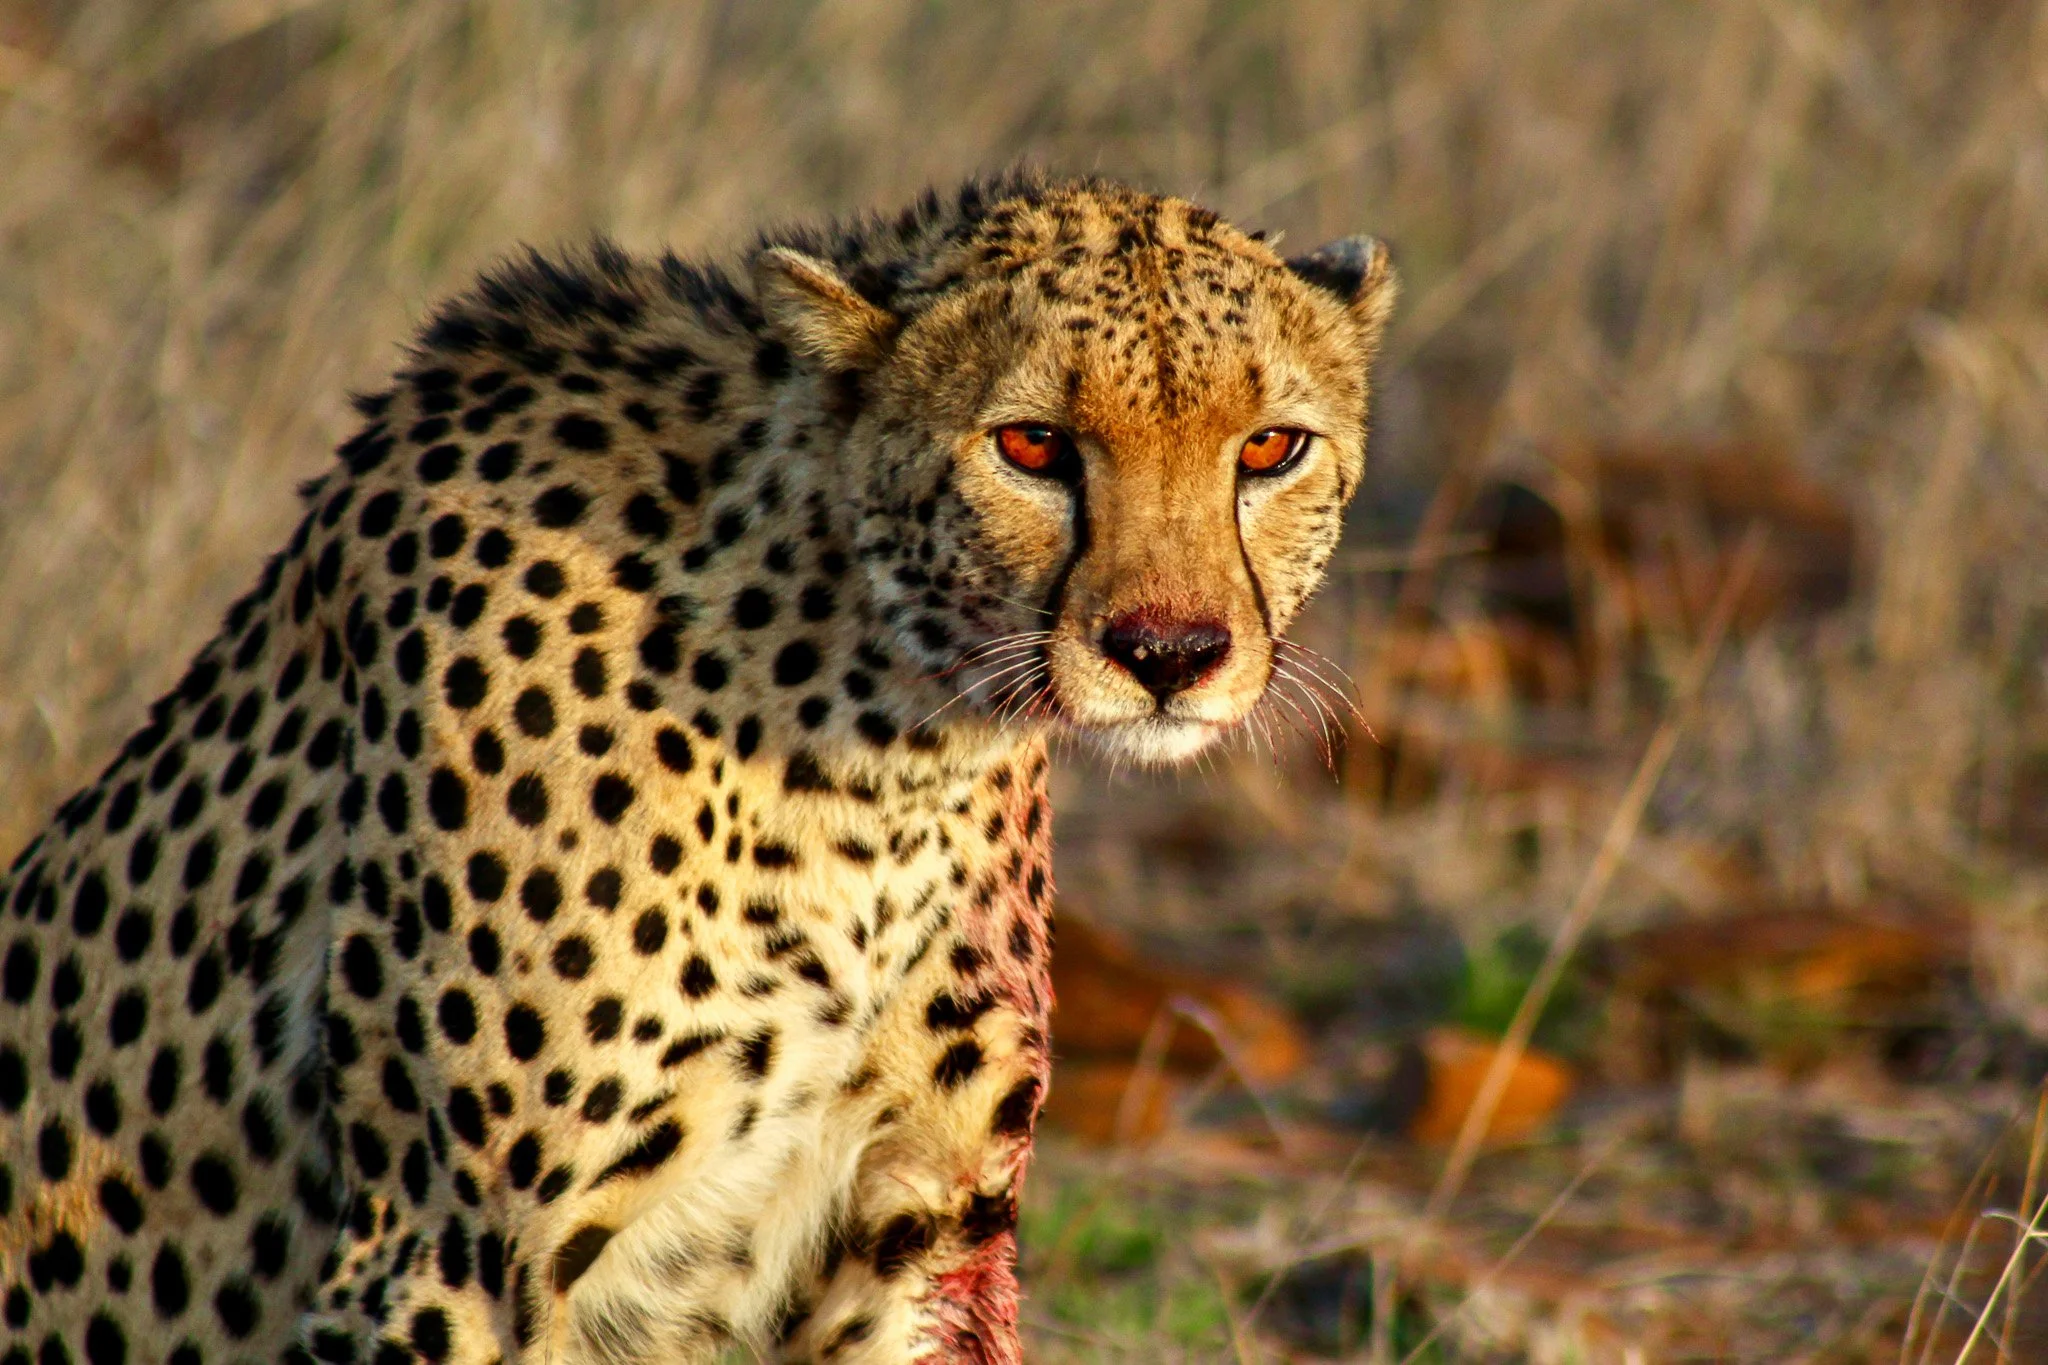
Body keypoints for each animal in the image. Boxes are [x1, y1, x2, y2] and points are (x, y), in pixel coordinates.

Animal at [0, 170, 1395, 1365]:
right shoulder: (447, 1258)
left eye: (1269, 448)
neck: (875, 732)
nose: (1170, 651)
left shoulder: (918, 1227)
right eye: (1033, 446)